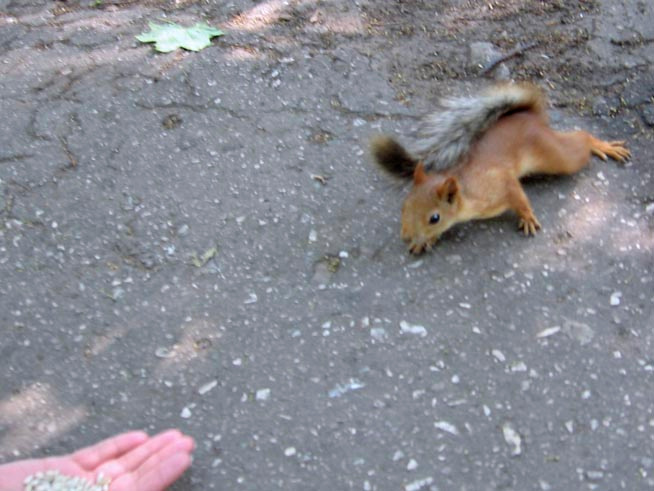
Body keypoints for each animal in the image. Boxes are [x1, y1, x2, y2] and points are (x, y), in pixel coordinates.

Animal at [371, 82, 630, 254]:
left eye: (435, 218)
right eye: (404, 206)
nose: (405, 237)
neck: (467, 191)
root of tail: (531, 116)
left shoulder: (501, 183)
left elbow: (519, 198)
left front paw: (527, 217)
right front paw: (423, 241)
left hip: (555, 155)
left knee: (581, 141)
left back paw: (601, 145)